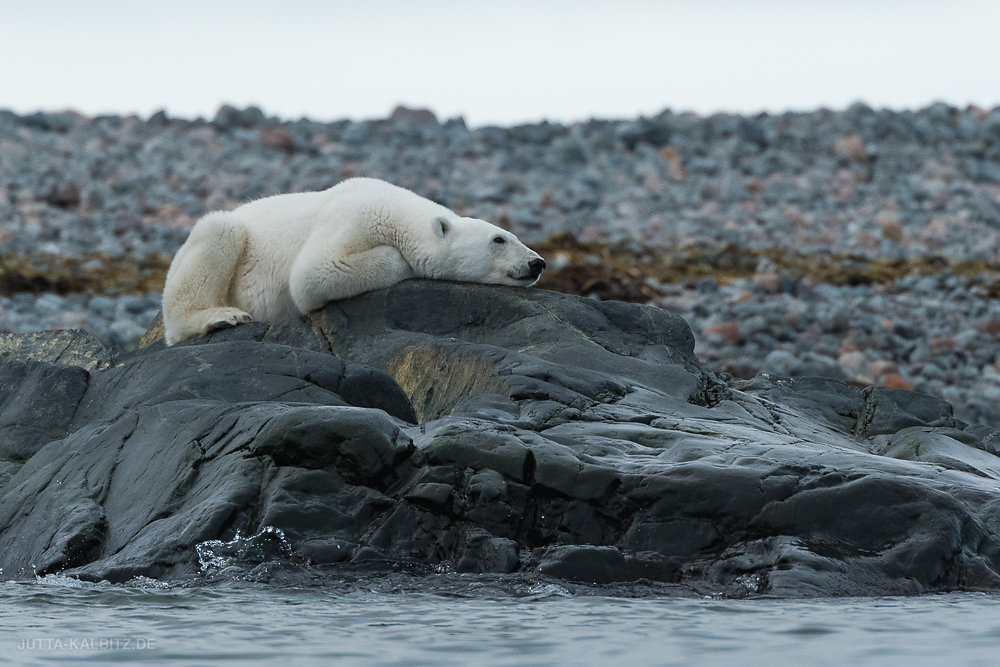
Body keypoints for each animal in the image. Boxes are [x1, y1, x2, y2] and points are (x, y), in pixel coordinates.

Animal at [161, 177, 548, 344]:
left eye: (514, 236)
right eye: (499, 239)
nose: (537, 263)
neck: (394, 211)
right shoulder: (351, 218)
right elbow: (312, 274)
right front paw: (400, 260)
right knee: (219, 232)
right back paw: (221, 316)